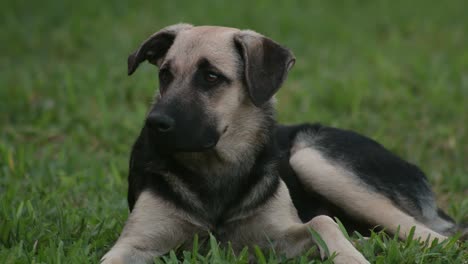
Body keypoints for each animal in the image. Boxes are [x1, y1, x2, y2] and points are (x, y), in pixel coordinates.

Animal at [99, 23, 464, 262]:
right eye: (165, 74)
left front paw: (351, 256)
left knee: (441, 239)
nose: (153, 124)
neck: (216, 170)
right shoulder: (137, 243)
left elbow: (322, 222)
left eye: (211, 77)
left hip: (311, 158)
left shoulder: (274, 237)